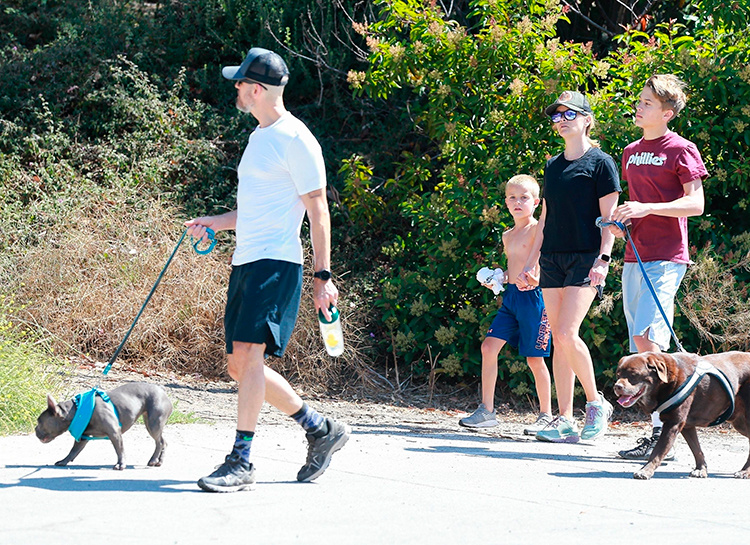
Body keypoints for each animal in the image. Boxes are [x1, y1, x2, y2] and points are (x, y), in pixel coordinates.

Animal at [616, 350, 750, 478]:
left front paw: (645, 471)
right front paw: (701, 469)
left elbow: (658, 451)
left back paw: (744, 472)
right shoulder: (687, 426)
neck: (668, 381)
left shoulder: (673, 423)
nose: (617, 386)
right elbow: (696, 449)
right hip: (739, 423)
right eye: (618, 374)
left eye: (634, 374)